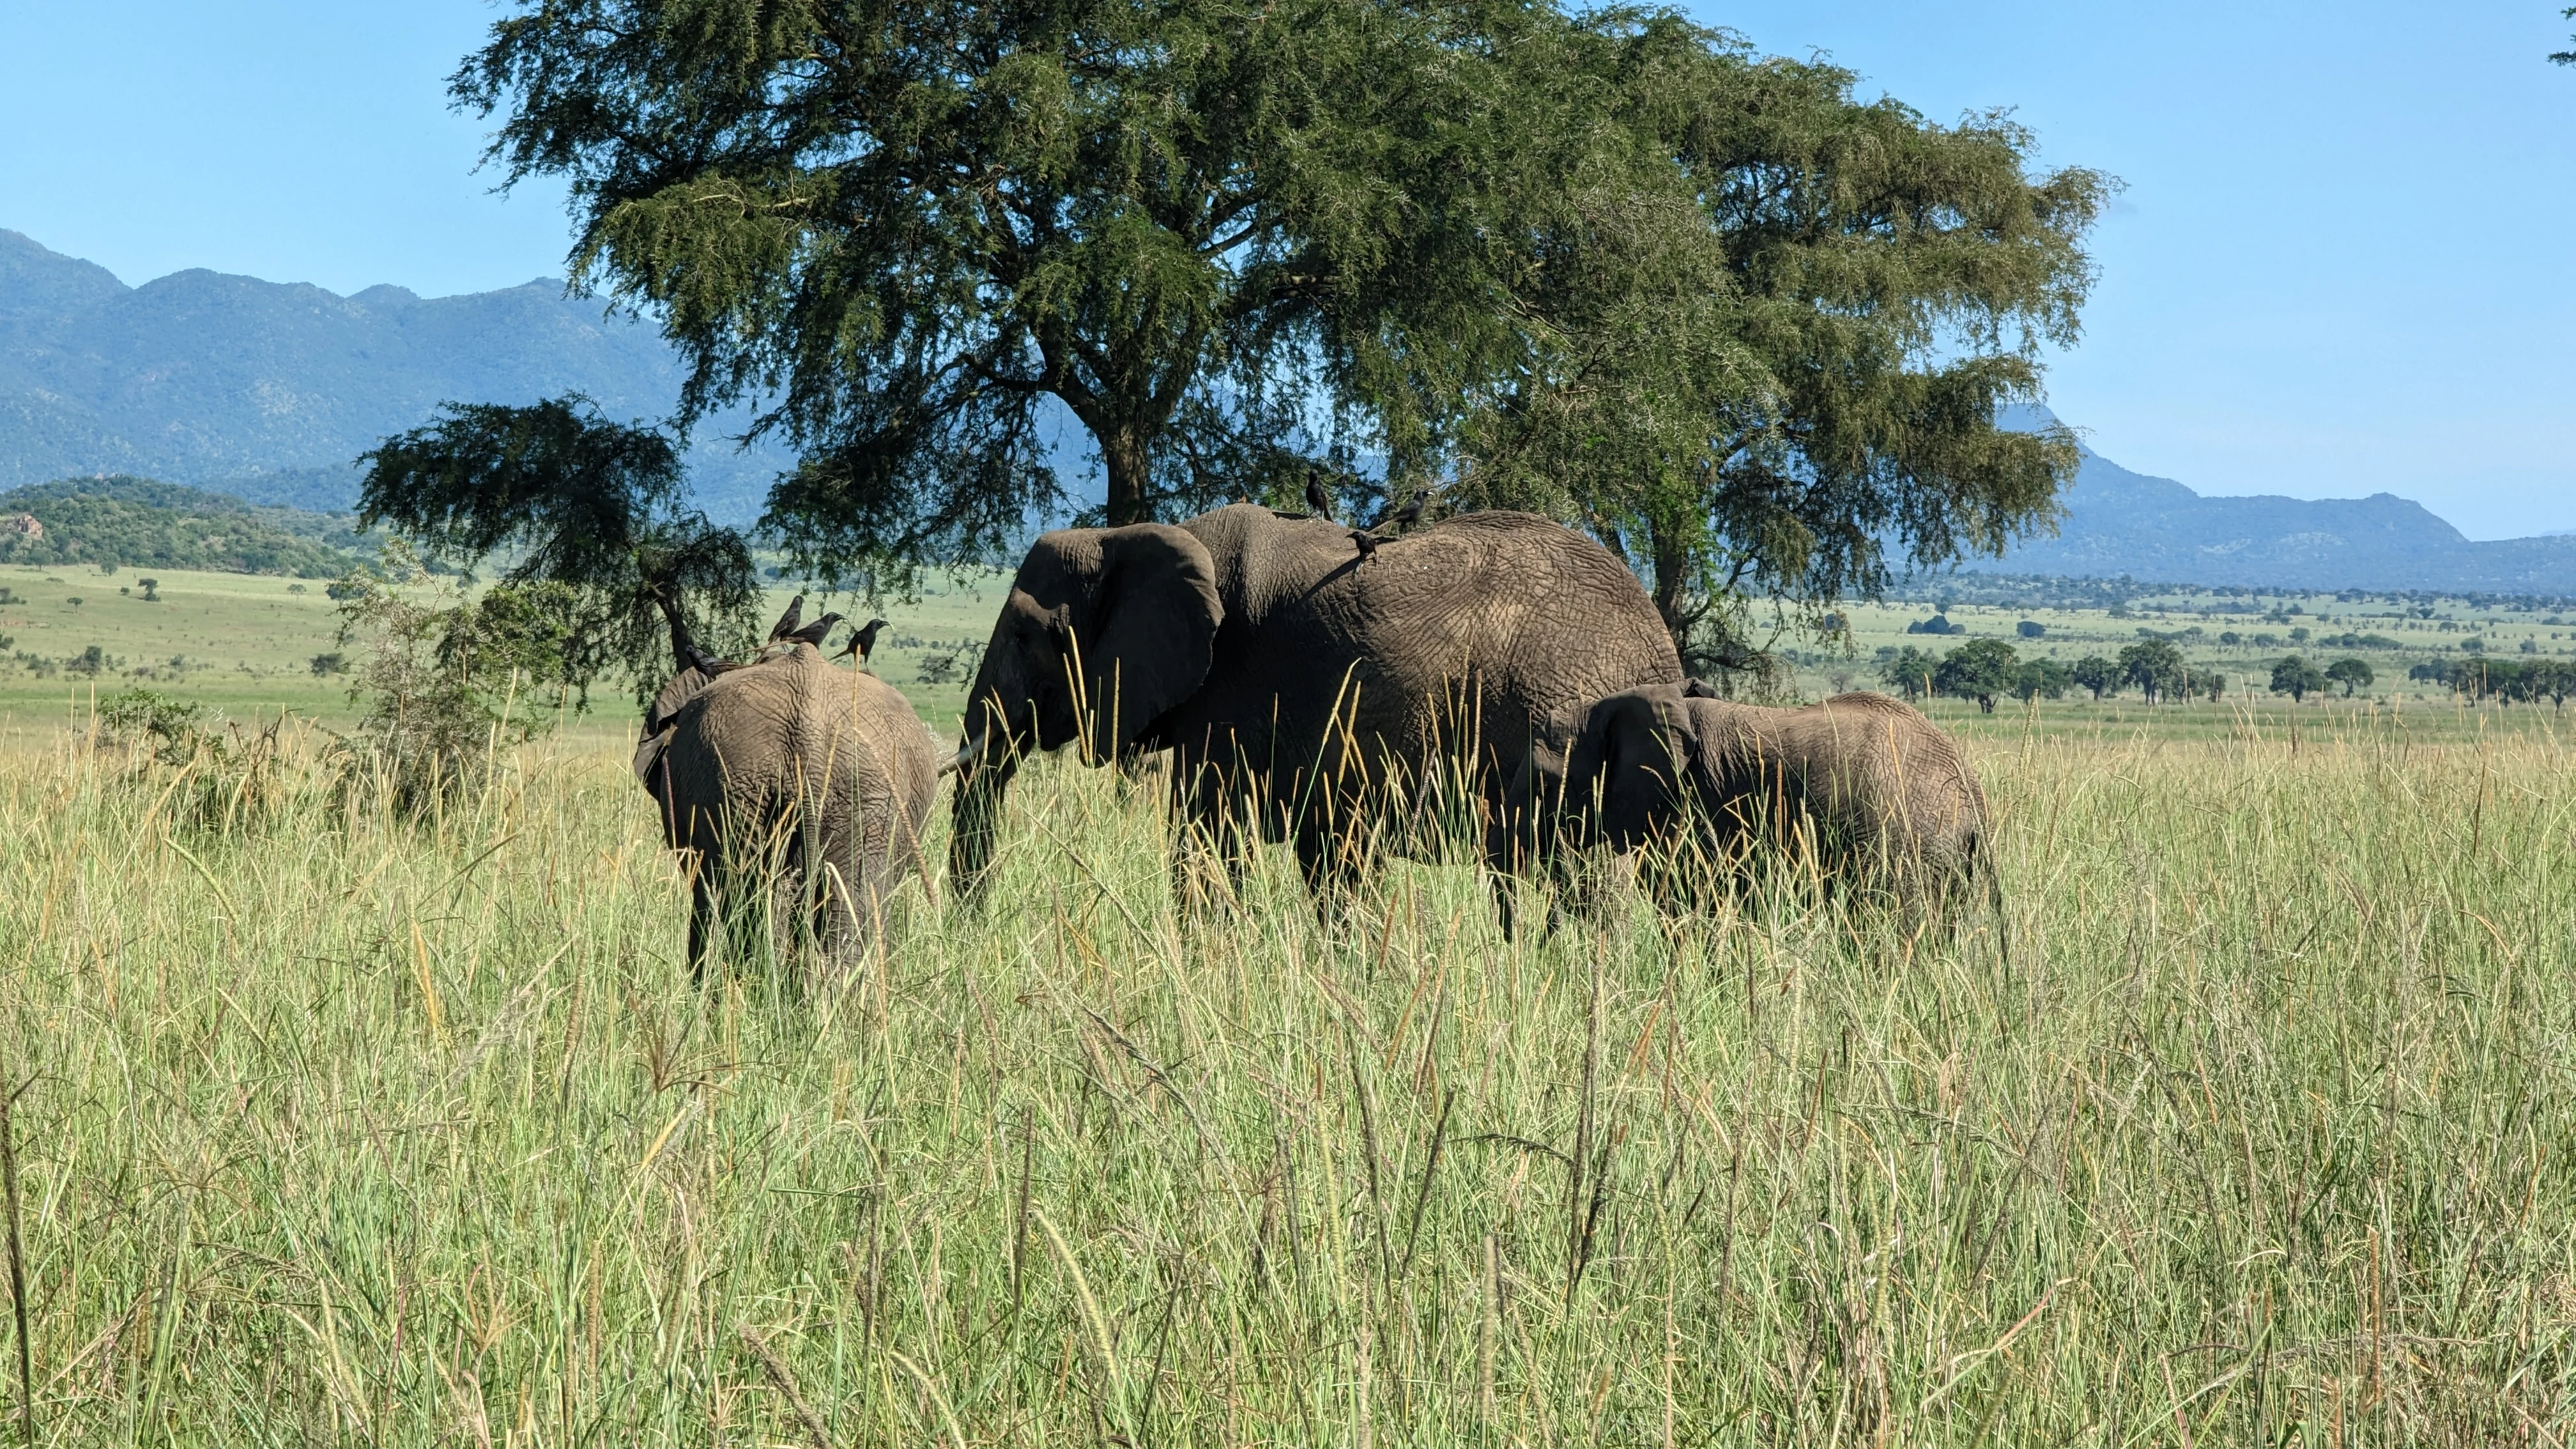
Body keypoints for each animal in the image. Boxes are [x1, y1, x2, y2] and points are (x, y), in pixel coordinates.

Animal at [943, 503, 1684, 918]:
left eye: (1025, 636)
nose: (973, 929)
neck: (1131, 535)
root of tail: (1660, 645)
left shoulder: (1231, 693)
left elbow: (1206, 843)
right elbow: (1326, 860)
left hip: (1566, 712)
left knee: (1588, 881)